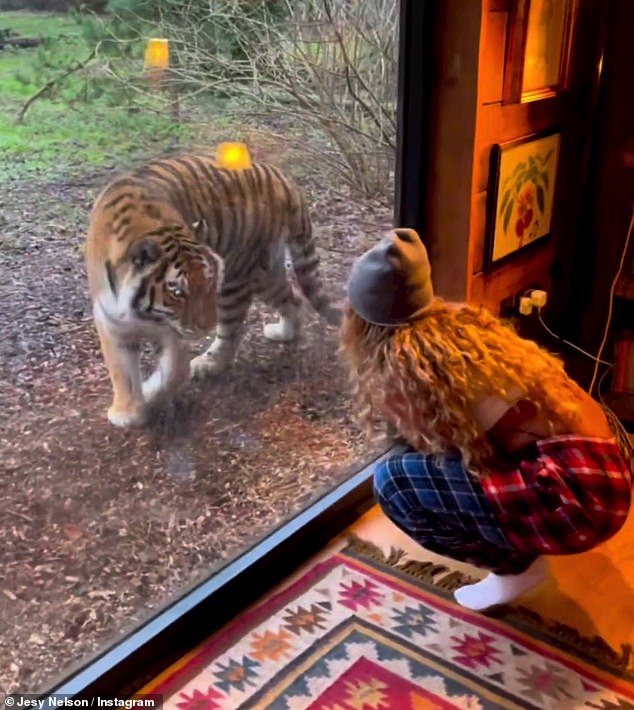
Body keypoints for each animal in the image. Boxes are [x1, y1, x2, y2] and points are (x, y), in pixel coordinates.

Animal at [86, 152, 340, 428]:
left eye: (208, 284)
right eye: (178, 292)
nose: (205, 327)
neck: (142, 311)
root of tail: (280, 177)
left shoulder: (173, 329)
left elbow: (173, 371)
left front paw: (150, 393)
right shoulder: (112, 321)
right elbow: (121, 370)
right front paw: (127, 412)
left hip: (237, 277)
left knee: (232, 330)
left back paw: (210, 363)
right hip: (266, 274)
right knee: (292, 298)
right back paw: (283, 333)